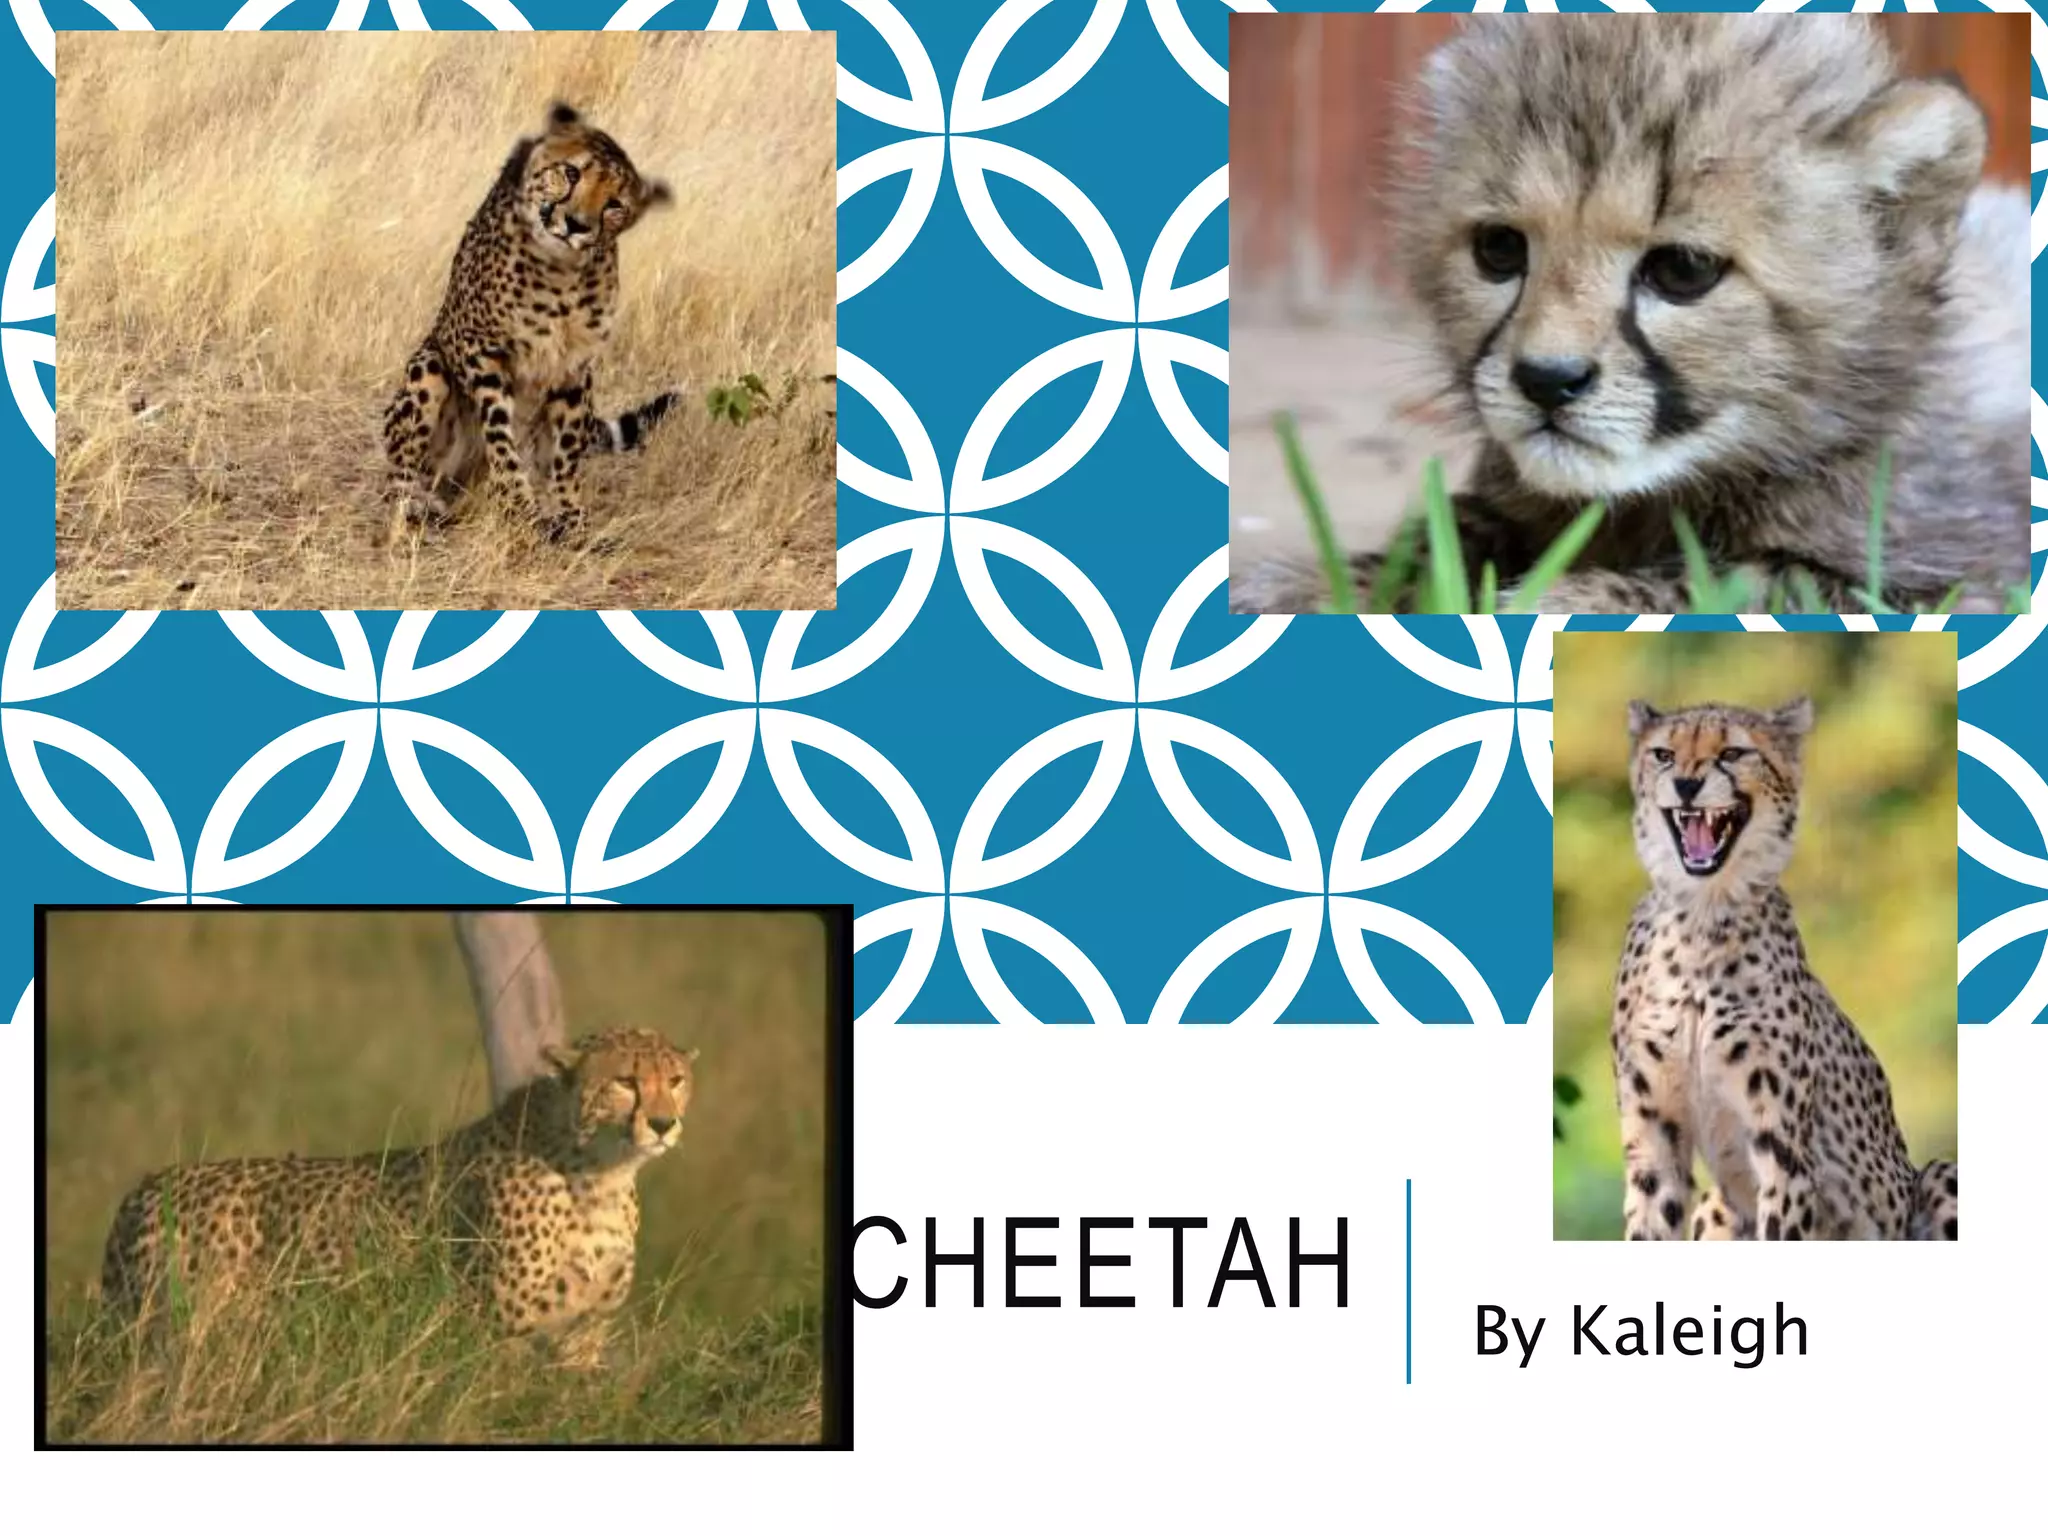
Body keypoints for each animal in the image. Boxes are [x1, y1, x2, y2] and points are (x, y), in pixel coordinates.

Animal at [99, 1028, 698, 1352]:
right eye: (625, 1081)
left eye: (674, 1081)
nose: (663, 1124)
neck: (602, 1172)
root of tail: (148, 1184)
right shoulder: (497, 1331)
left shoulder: (581, 1333)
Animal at [383, 103, 682, 545]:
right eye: (571, 173)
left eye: (615, 204)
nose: (575, 224)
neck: (561, 271)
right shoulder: (480, 350)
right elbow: (500, 436)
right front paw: (520, 505)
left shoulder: (573, 368)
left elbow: (567, 452)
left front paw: (571, 517)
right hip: (429, 367)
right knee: (401, 469)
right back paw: (417, 505)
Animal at [1231, 15, 2029, 616]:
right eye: (1499, 249)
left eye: (1684, 270)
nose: (1546, 380)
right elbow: (1443, 536)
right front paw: (1310, 584)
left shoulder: (1960, 576)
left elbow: (1745, 583)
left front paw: (1554, 602)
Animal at [1610, 697, 1955, 1240]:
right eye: (1663, 754)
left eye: (1733, 753)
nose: (1686, 784)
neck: (1703, 917)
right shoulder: (1654, 1136)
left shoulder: (1782, 1147)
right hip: (1714, 1204)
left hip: (1941, 1174)